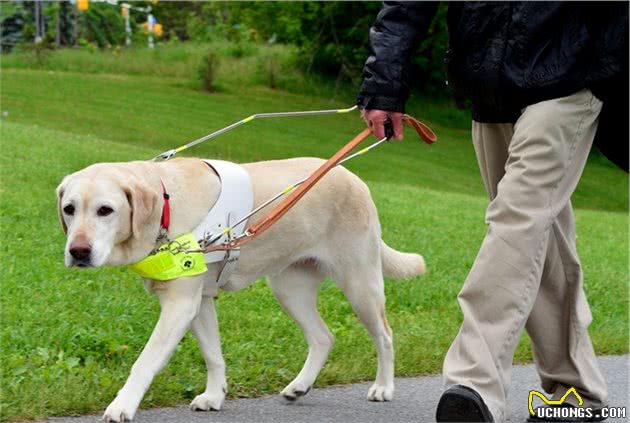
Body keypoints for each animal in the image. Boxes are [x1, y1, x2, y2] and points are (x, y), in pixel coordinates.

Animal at [56, 157, 428, 422]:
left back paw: (383, 387)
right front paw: (214, 396)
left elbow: (145, 360)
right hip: (289, 289)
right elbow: (213, 355)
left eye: (106, 210)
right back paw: (299, 386)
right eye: (69, 209)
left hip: (360, 284)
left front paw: (122, 405)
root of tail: (352, 176)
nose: (78, 252)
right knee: (323, 337)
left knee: (385, 335)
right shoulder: (200, 302)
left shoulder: (180, 304)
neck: (165, 206)